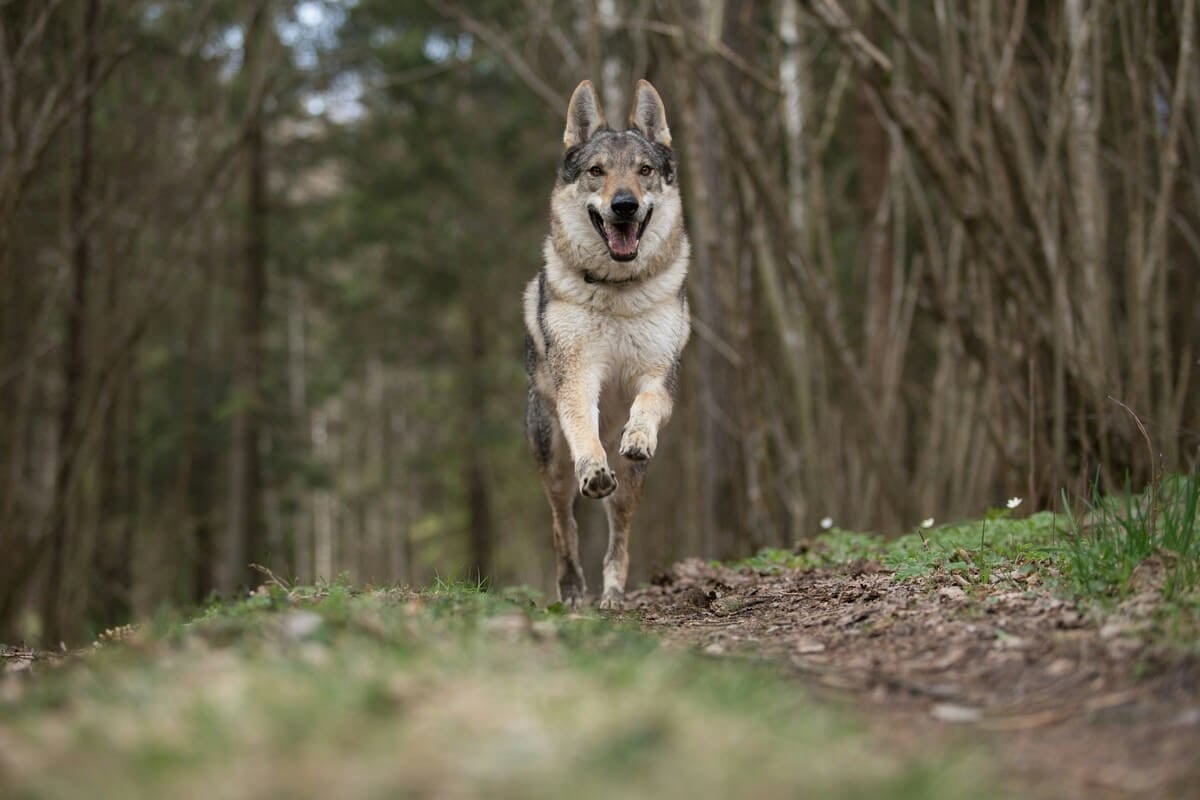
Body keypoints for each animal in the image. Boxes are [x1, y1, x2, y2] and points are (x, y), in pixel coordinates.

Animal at [523, 79, 690, 610]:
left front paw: (637, 435)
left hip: (631, 489)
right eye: (597, 171)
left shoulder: (659, 376)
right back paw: (573, 591)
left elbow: (646, 404)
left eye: (644, 171)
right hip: (552, 463)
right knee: (564, 525)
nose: (624, 205)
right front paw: (594, 466)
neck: (618, 290)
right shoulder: (577, 376)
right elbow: (585, 431)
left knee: (619, 536)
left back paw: (613, 594)